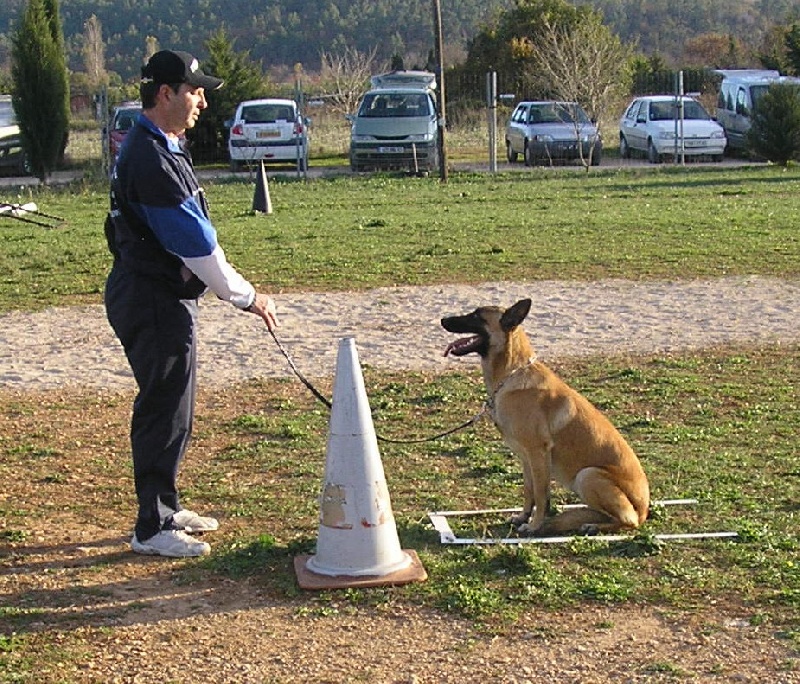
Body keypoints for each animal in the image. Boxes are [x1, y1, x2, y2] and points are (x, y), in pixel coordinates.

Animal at [444, 300, 648, 536]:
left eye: (477, 316)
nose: (443, 320)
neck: (510, 374)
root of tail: (644, 511)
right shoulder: (526, 457)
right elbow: (529, 491)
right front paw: (523, 516)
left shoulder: (538, 454)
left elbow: (541, 496)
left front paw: (534, 526)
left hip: (587, 475)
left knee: (628, 521)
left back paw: (594, 526)